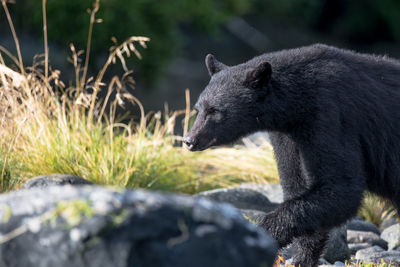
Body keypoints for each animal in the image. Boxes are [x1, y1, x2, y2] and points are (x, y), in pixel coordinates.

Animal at [184, 44, 400, 267]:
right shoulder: (288, 136)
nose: (189, 140)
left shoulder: (330, 117)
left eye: (214, 110)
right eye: (198, 109)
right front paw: (302, 258)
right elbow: (299, 186)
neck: (297, 104)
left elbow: (341, 187)